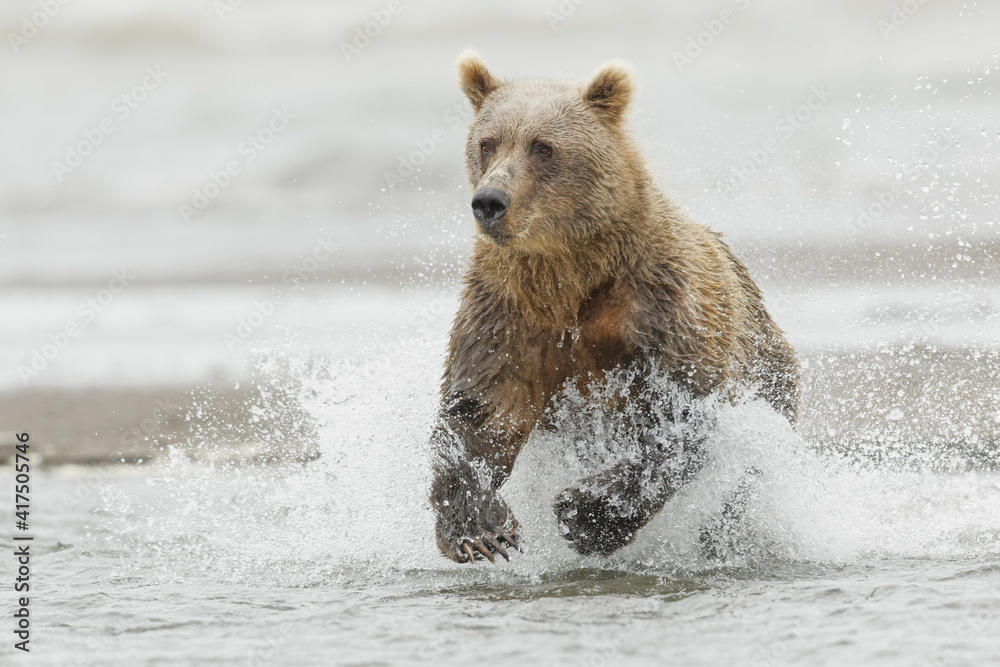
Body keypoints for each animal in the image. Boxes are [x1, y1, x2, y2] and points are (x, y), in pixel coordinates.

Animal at [429, 51, 799, 564]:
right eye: (487, 143)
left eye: (543, 147)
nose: (489, 200)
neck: (573, 277)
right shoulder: (508, 312)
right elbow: (480, 412)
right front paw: (481, 531)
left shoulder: (660, 302)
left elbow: (678, 414)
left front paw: (586, 514)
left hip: (769, 381)